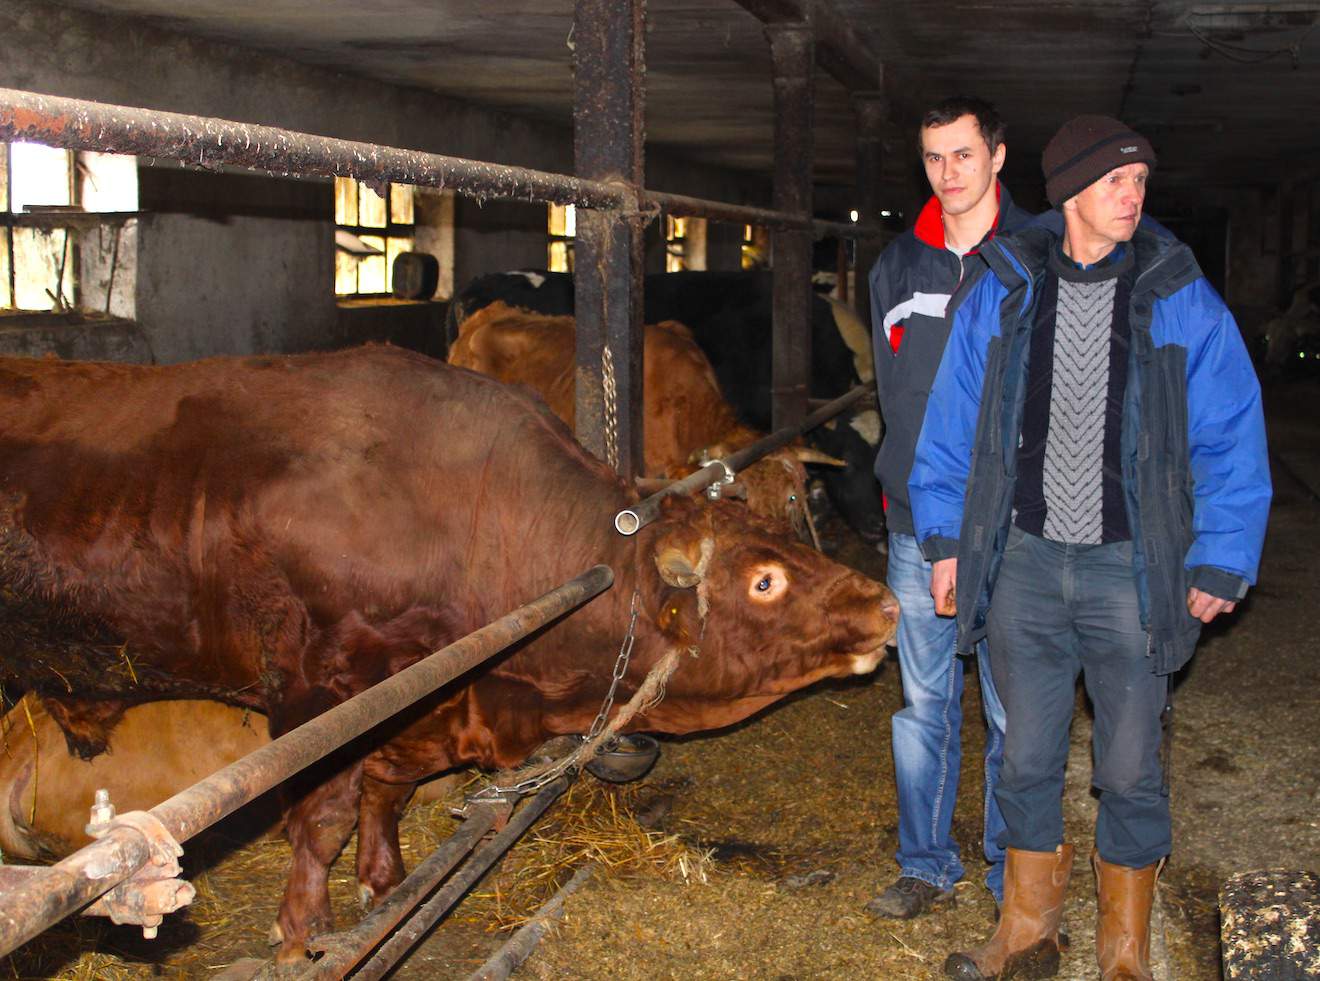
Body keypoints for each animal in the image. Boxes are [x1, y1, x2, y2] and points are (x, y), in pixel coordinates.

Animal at [0, 348, 897, 961]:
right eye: (766, 579)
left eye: (785, 523)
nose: (886, 603)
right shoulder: (320, 695)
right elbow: (323, 815)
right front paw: (304, 932)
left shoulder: (418, 705)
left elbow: (385, 795)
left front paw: (386, 882)